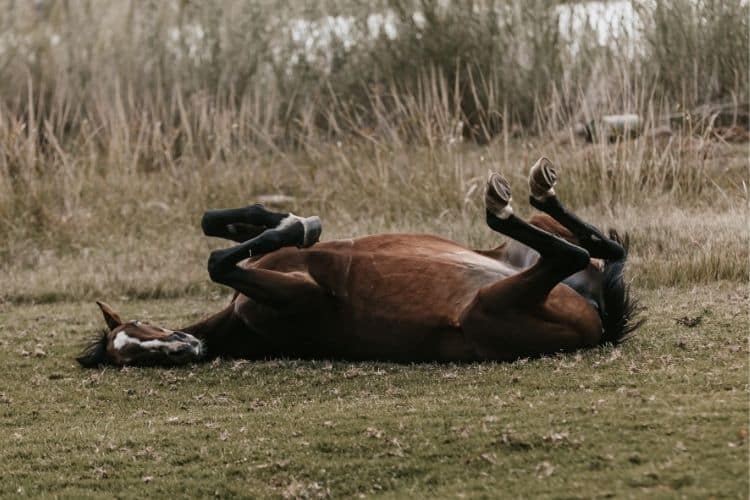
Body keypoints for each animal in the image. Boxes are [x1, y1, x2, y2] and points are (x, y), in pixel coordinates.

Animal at [77, 157, 642, 367]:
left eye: (141, 326)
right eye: (131, 358)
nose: (187, 350)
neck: (238, 325)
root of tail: (603, 321)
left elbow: (219, 223)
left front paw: (295, 222)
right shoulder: (301, 293)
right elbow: (218, 261)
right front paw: (297, 225)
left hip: (522, 257)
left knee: (603, 249)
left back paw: (539, 192)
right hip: (496, 302)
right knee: (571, 253)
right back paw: (506, 203)